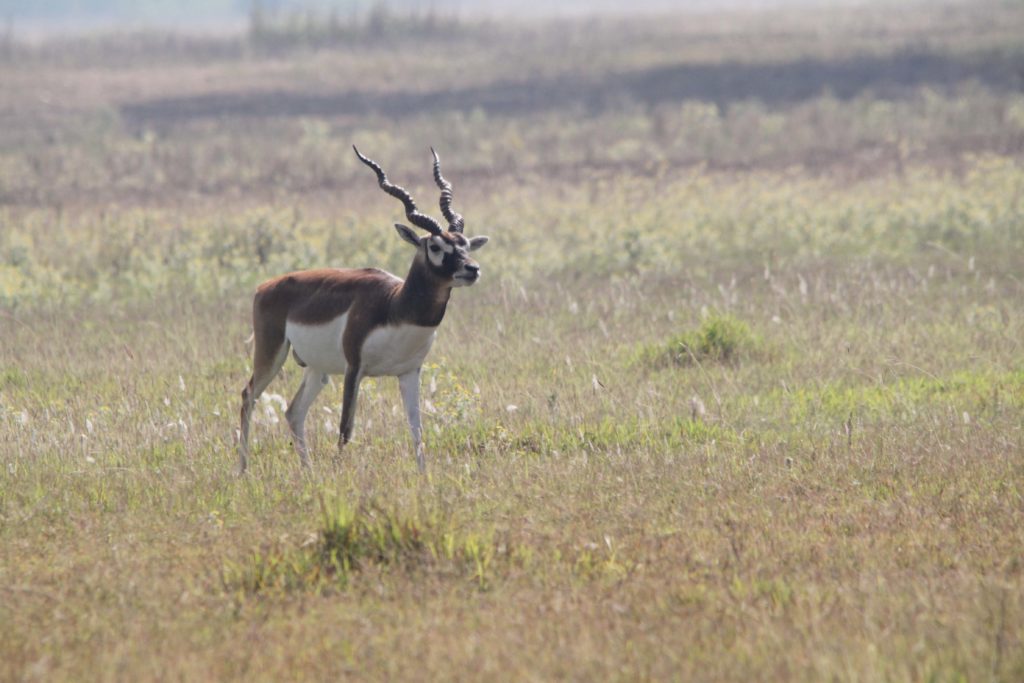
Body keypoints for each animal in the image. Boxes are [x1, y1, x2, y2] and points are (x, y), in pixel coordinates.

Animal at [239, 147, 487, 473]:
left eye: (465, 244)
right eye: (435, 247)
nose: (472, 269)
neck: (396, 308)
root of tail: (265, 286)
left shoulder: (409, 371)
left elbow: (416, 428)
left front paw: (425, 476)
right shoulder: (354, 368)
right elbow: (346, 428)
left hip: (317, 370)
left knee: (293, 412)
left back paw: (309, 472)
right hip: (271, 353)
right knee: (248, 396)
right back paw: (242, 470)